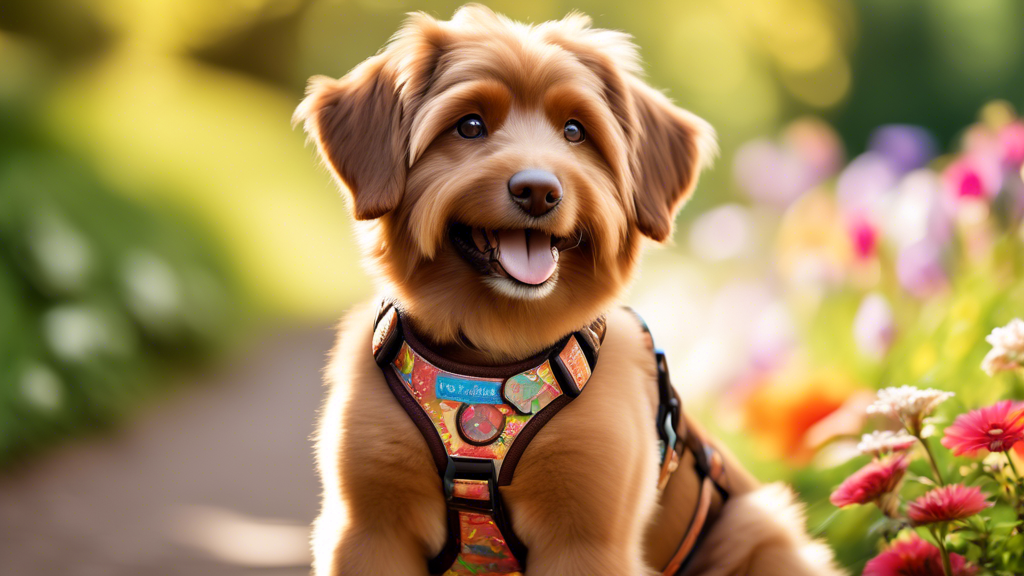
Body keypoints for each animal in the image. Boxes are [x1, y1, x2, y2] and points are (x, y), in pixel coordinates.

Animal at [294, 5, 839, 573]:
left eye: (575, 130)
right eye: (469, 126)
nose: (538, 190)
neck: (490, 352)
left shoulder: (585, 536)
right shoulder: (370, 529)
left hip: (759, 528)